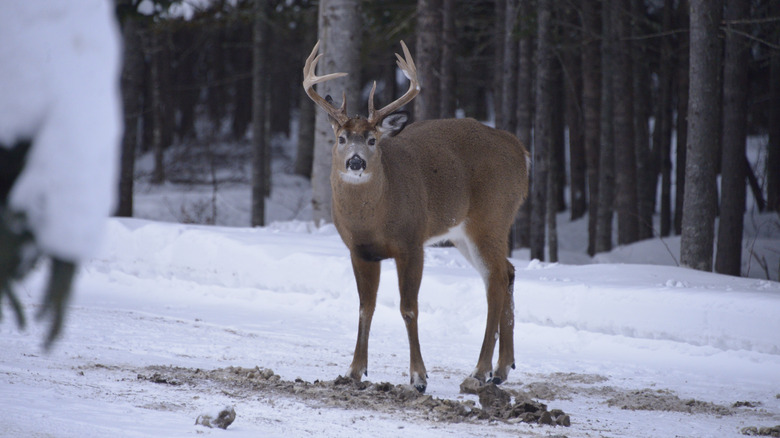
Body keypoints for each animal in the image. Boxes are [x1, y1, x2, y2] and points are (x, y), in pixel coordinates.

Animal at [304, 39, 532, 392]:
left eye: (372, 139)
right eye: (341, 139)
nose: (355, 162)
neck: (373, 220)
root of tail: (521, 151)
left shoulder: (411, 243)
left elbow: (408, 308)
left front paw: (418, 377)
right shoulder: (359, 250)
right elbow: (365, 307)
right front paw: (354, 371)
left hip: (491, 217)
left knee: (495, 280)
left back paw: (479, 371)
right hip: (463, 233)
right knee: (506, 272)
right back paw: (501, 369)